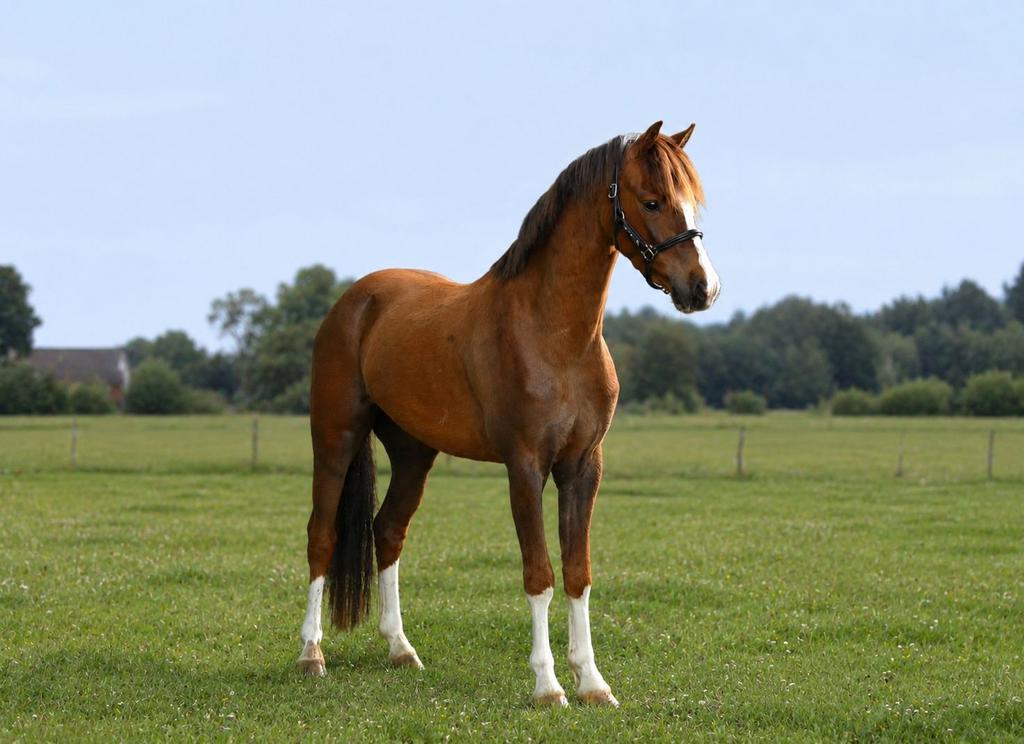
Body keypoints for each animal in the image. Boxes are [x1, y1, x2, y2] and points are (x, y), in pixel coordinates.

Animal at [295, 120, 721, 707]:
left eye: (692, 202)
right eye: (653, 200)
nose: (702, 288)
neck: (553, 336)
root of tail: (354, 300)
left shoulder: (583, 467)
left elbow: (578, 573)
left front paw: (593, 684)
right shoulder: (525, 466)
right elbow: (539, 573)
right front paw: (547, 686)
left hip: (413, 452)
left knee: (388, 530)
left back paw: (401, 650)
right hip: (336, 435)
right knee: (322, 534)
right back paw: (311, 654)